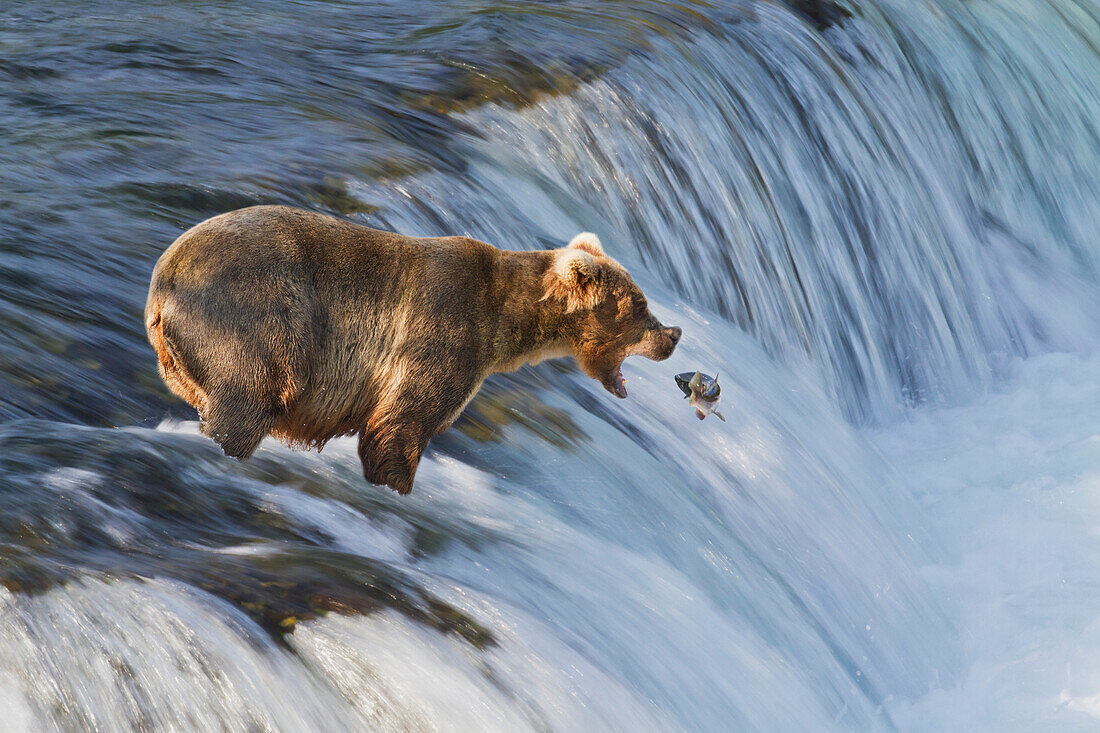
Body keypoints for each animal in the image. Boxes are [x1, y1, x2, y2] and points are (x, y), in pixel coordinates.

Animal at [146, 202, 677, 493]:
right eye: (640, 304)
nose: (674, 334)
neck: (506, 321)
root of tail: (160, 282)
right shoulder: (444, 331)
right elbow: (401, 420)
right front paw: (397, 482)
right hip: (256, 313)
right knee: (254, 396)